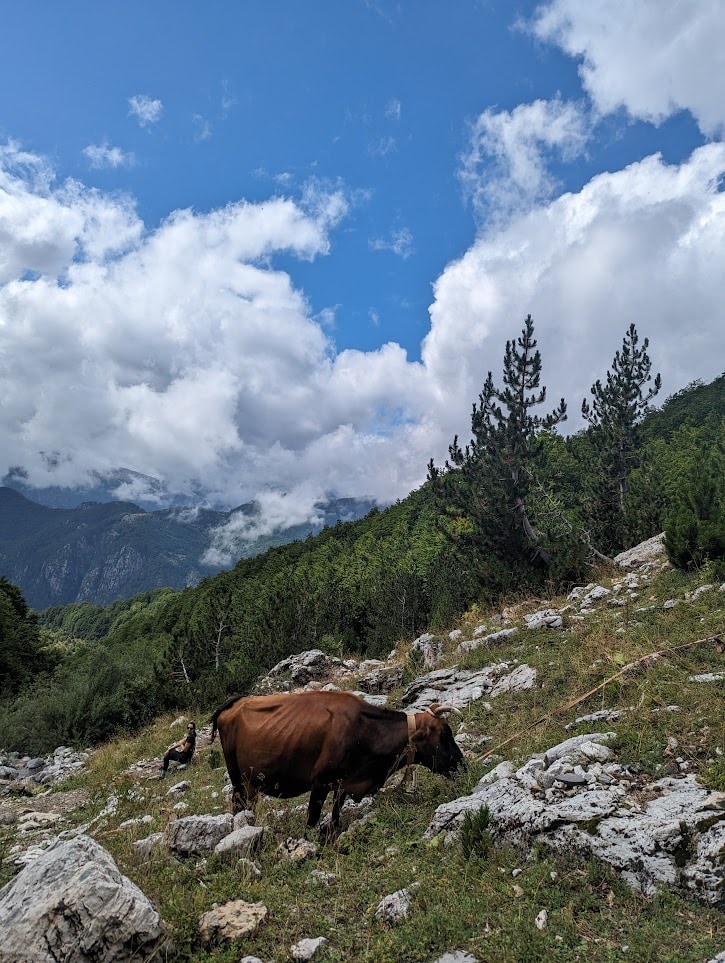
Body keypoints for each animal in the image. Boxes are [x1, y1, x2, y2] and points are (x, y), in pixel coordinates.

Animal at [210, 689, 465, 840]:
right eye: (444, 734)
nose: (462, 765)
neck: (365, 729)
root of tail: (235, 703)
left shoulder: (343, 784)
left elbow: (335, 815)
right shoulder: (320, 782)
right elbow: (312, 818)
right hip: (240, 779)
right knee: (239, 805)